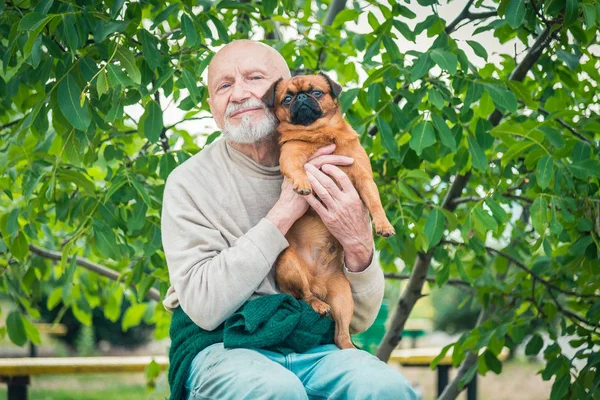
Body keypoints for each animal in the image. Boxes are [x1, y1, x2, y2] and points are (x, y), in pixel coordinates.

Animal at [262, 73, 394, 348]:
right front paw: (303, 184)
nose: (302, 98)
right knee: (304, 295)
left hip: (344, 298)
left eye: (317, 92)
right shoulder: (289, 157)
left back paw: (350, 348)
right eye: (287, 98)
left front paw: (383, 225)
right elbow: (298, 169)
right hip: (290, 265)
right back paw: (318, 304)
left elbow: (375, 203)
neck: (320, 133)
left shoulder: (364, 178)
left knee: (341, 334)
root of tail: (320, 285)